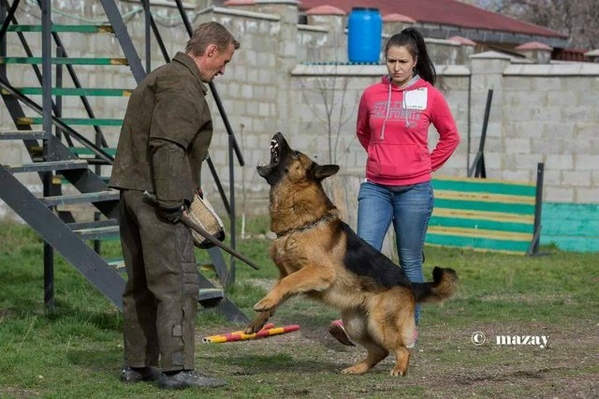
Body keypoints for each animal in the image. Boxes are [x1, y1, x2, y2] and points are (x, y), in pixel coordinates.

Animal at [244, 133, 460, 376]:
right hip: (354, 324)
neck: (301, 224)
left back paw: (399, 369)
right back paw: (357, 369)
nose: (279, 134)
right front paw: (259, 319)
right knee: (379, 351)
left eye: (296, 153)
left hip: (378, 323)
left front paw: (263, 303)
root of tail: (409, 283)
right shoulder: (290, 274)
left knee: (402, 349)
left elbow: (286, 283)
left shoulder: (318, 271)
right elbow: (280, 288)